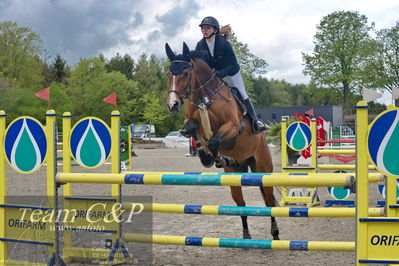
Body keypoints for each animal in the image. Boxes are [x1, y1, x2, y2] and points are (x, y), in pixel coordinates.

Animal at [164, 42, 280, 241]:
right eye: (169, 74)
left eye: (185, 73)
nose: (173, 105)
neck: (204, 96)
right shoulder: (192, 123)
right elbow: (192, 130)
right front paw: (207, 157)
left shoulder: (232, 127)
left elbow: (213, 142)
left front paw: (215, 158)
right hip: (235, 175)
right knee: (241, 204)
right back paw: (246, 236)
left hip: (263, 168)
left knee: (269, 200)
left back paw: (275, 233)